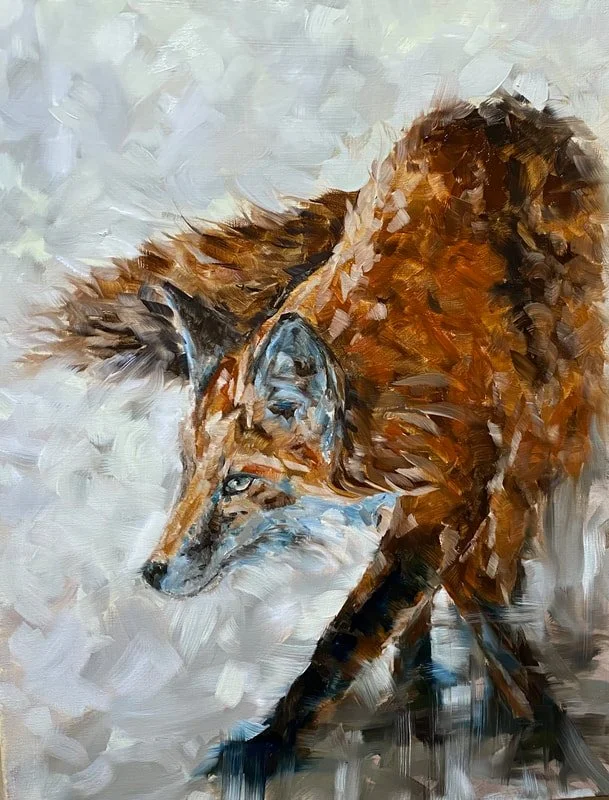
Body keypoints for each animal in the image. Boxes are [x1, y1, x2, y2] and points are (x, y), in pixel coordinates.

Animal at [35, 93, 609, 795]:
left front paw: (269, 746)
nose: (154, 572)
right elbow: (428, 602)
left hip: (554, 421)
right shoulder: (432, 509)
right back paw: (418, 691)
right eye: (188, 470)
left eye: (239, 483)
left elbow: (356, 631)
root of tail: (501, 107)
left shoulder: (460, 491)